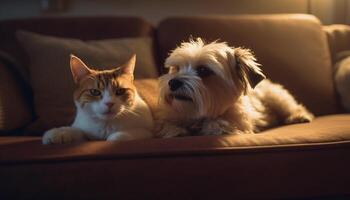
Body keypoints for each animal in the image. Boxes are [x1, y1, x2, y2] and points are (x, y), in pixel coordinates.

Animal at [157, 37, 314, 138]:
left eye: (203, 70)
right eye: (177, 68)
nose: (173, 82)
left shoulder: (238, 123)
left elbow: (218, 124)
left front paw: (211, 126)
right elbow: (167, 126)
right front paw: (174, 130)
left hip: (277, 98)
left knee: (293, 108)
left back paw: (299, 116)